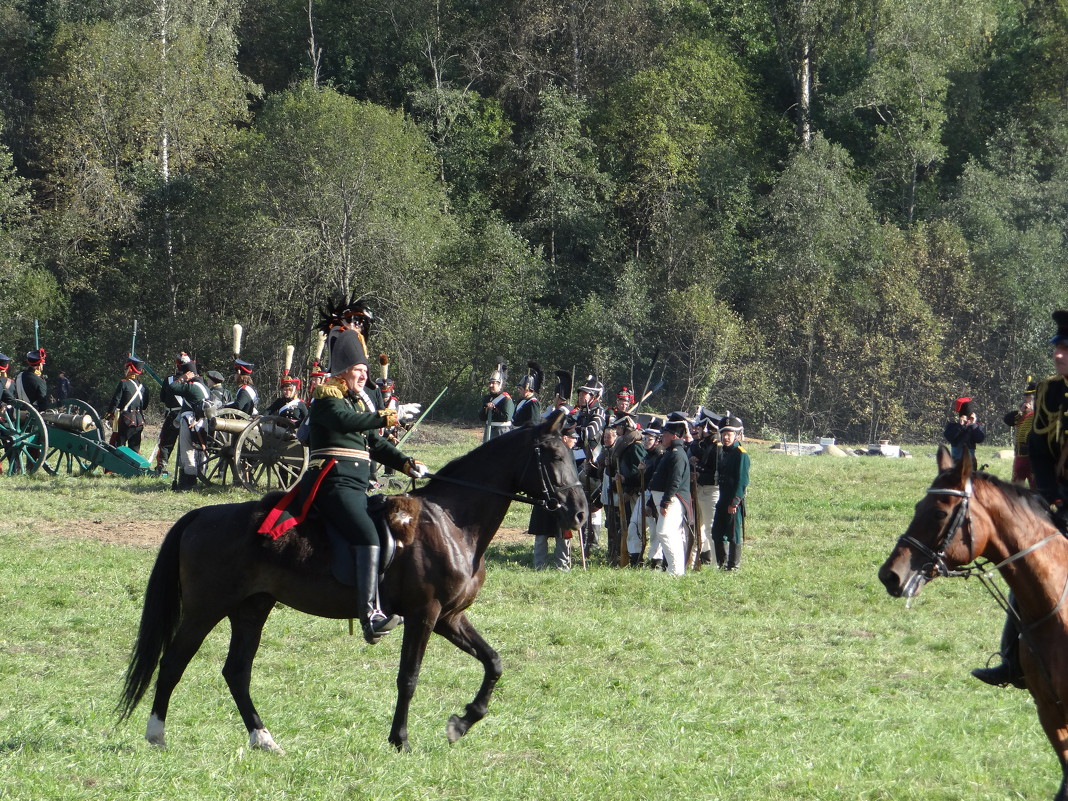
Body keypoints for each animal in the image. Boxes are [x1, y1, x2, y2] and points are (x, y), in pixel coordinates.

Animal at [119, 410, 585, 756]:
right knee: (173, 662)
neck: (451, 522)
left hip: (251, 610)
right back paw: (157, 734)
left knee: (236, 671)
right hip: (205, 609)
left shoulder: (449, 617)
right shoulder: (424, 615)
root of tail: (201, 515)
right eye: (551, 454)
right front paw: (400, 740)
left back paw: (264, 739)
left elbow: (494, 662)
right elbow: (409, 678)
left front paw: (461, 722)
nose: (579, 512)